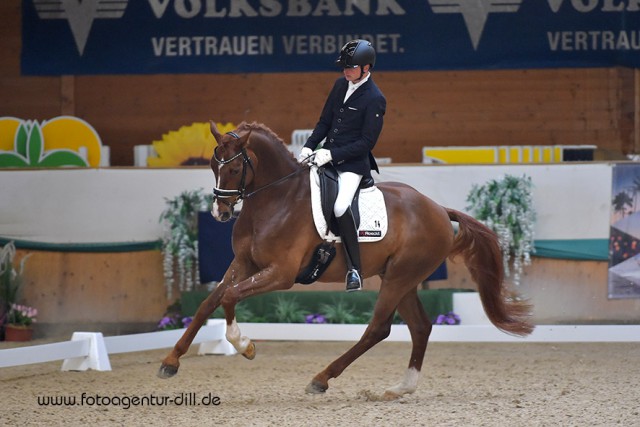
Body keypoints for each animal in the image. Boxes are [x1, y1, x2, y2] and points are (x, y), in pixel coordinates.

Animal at [160, 120, 536, 398]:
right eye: (212, 164)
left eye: (236, 167)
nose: (220, 213)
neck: (276, 199)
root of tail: (439, 209)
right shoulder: (243, 264)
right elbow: (209, 302)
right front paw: (171, 360)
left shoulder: (281, 273)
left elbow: (230, 296)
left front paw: (244, 345)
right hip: (401, 278)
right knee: (420, 327)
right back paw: (401, 387)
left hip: (399, 277)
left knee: (378, 328)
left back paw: (322, 378)